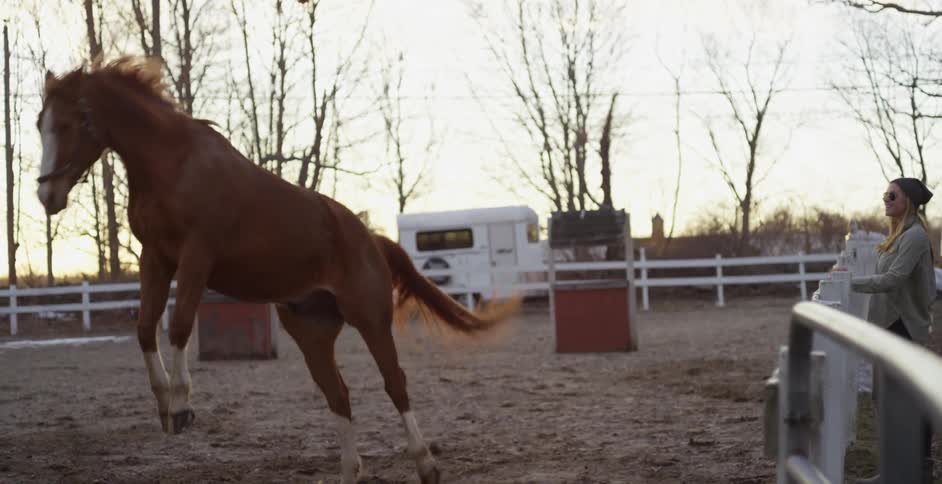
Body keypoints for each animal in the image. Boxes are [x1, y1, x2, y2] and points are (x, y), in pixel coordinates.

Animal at [36, 56, 517, 484]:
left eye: (68, 124)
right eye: (42, 123)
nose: (46, 195)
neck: (174, 164)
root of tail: (371, 239)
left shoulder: (196, 255)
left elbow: (180, 325)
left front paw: (181, 405)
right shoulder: (155, 257)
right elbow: (143, 328)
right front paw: (162, 405)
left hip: (370, 319)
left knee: (394, 384)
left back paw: (426, 465)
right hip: (311, 333)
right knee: (339, 395)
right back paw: (351, 472)